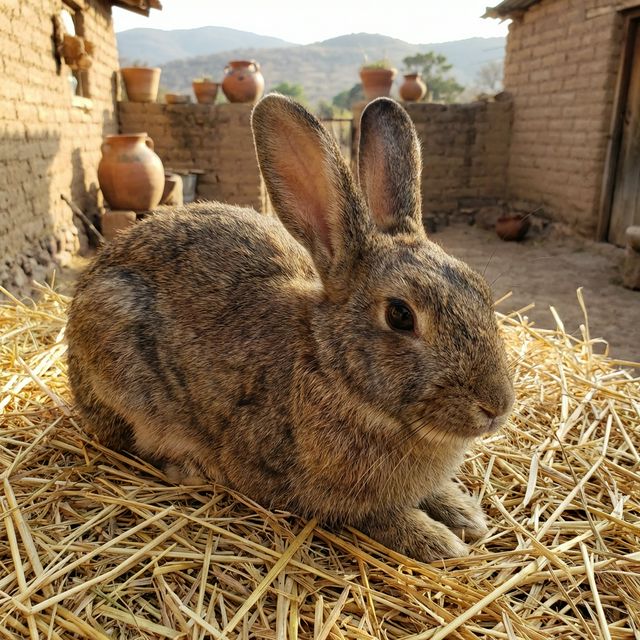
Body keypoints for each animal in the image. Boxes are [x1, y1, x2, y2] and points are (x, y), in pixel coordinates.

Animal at [66, 94, 514, 562]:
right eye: (400, 315)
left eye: (481, 290)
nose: (497, 406)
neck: (330, 368)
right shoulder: (309, 488)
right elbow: (374, 516)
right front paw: (438, 540)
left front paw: (464, 512)